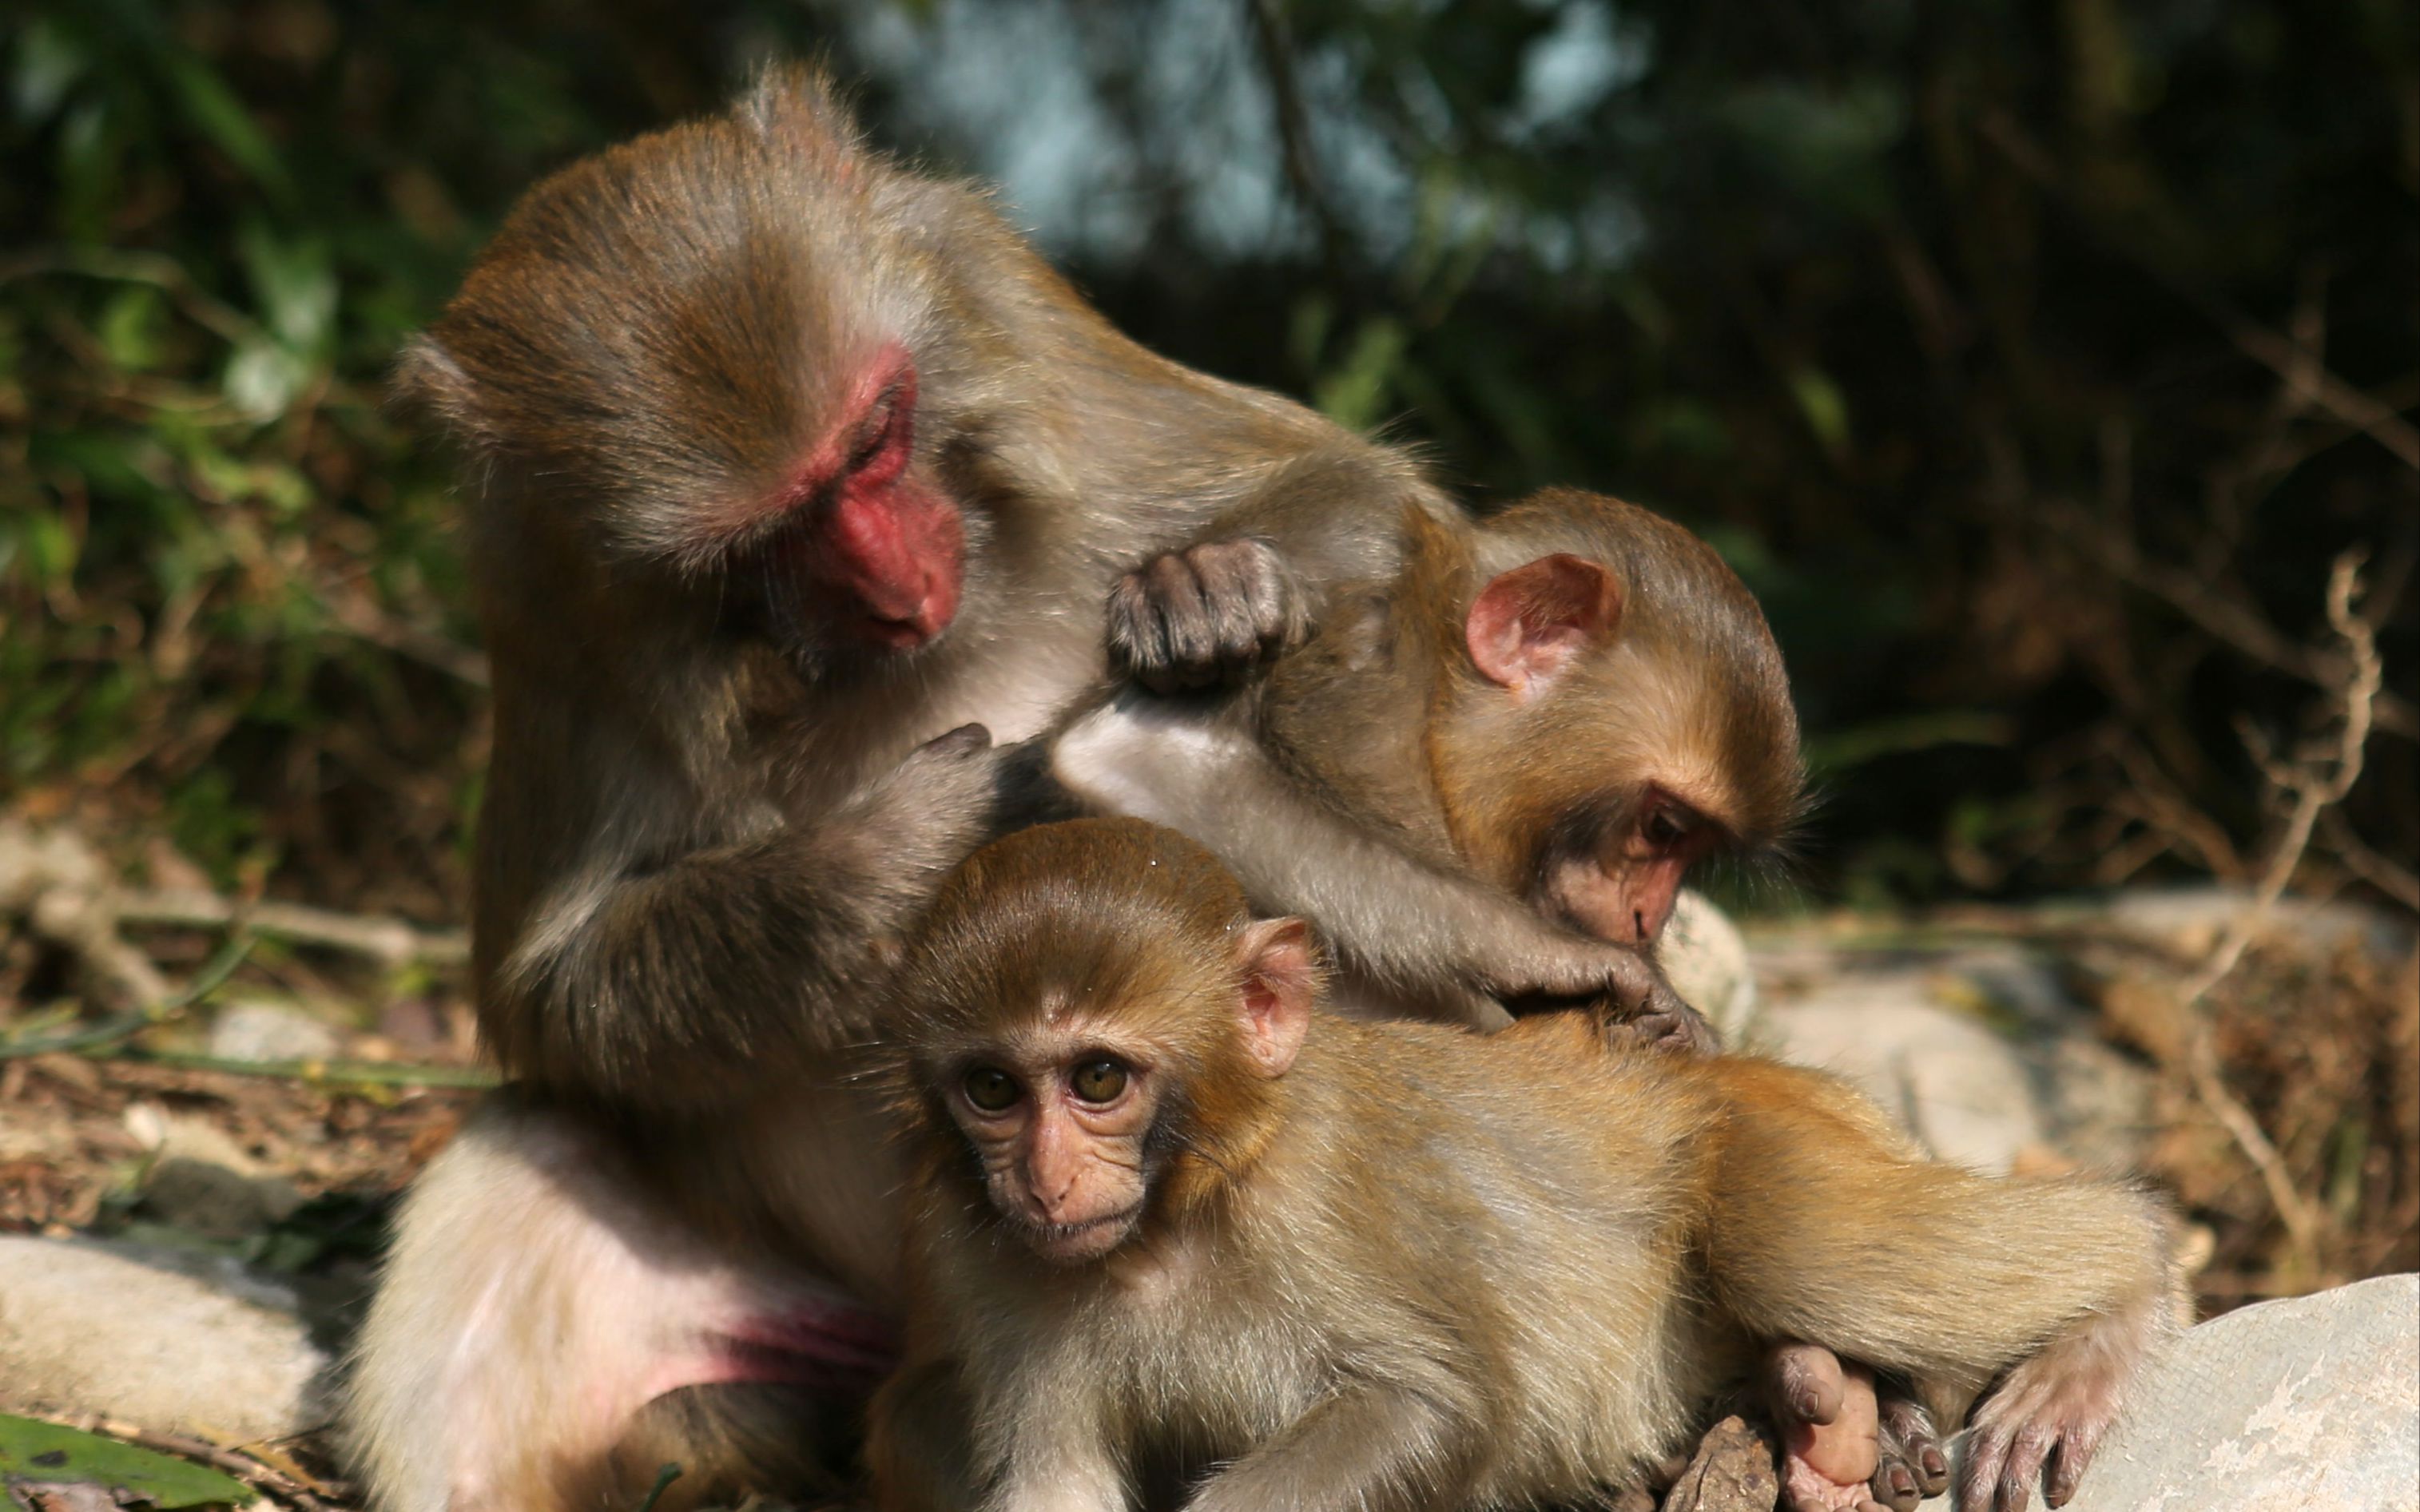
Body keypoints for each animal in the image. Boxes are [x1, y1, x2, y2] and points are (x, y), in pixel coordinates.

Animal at [871, 812, 2178, 1509]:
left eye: (1096, 1079)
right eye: (993, 1089)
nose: (1043, 1179)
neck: (1179, 1212)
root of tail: (1756, 1067)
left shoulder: (1321, 1198)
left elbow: (1446, 1403)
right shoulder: (994, 1272)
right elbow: (1055, 1483)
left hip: (1774, 1137)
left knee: (1803, 1254)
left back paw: (2102, 1309)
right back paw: (1832, 1407)